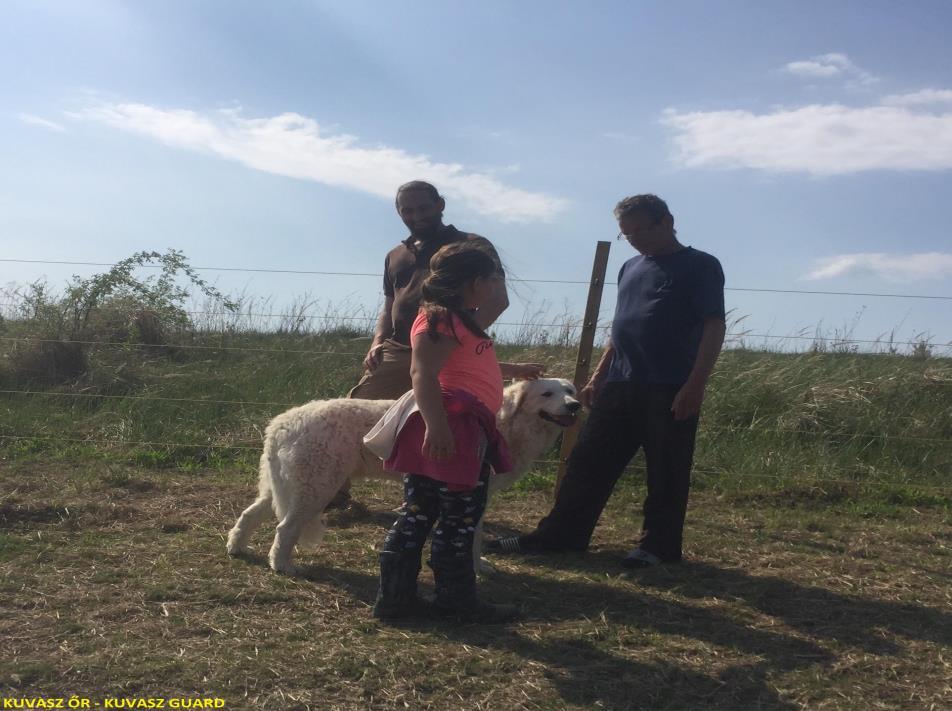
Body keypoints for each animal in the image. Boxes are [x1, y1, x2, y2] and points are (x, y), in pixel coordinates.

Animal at [228, 378, 580, 572]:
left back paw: (236, 548)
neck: (509, 422)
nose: (576, 405)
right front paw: (477, 568)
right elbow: (474, 538)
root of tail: (281, 422)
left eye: (570, 390)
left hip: (287, 488)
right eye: (547, 394)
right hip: (315, 489)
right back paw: (282, 566)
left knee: (249, 515)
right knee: (285, 529)